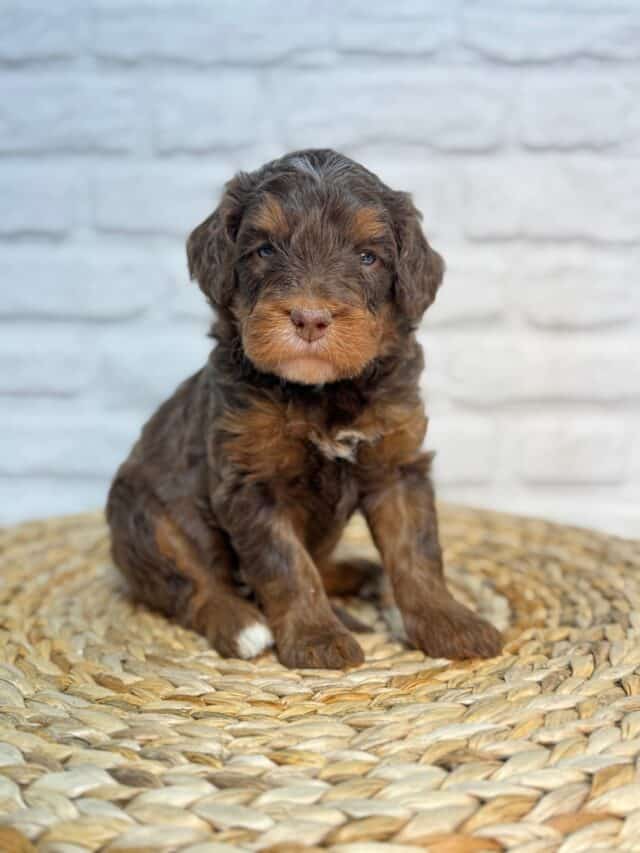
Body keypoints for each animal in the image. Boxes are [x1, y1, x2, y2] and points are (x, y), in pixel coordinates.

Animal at [107, 148, 502, 664]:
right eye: (265, 250)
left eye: (367, 257)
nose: (310, 318)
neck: (321, 392)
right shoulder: (251, 480)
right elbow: (287, 565)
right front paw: (317, 639)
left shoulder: (398, 466)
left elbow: (417, 551)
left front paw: (450, 623)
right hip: (143, 519)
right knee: (191, 585)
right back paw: (244, 626)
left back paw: (362, 575)